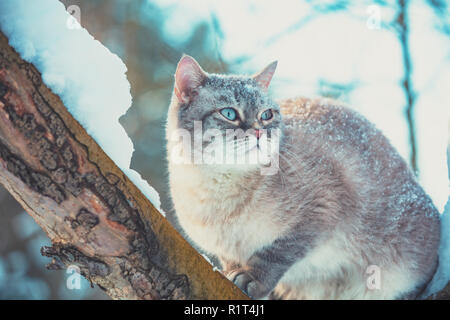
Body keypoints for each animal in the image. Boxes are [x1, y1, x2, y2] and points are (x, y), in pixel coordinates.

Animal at [164, 55, 440, 300]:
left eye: (267, 115)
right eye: (230, 114)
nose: (259, 132)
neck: (217, 190)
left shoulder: (319, 212)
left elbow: (273, 255)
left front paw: (252, 279)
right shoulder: (226, 251)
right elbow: (231, 265)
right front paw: (235, 274)